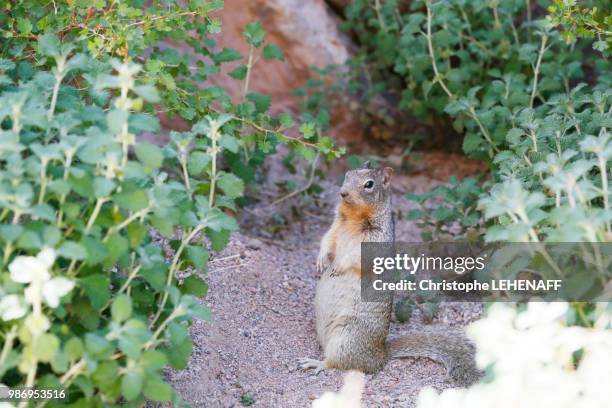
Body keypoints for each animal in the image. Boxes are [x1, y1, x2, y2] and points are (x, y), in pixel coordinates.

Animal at [298, 163, 480, 386]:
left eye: (369, 184)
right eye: (347, 174)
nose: (343, 193)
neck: (353, 216)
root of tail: (380, 355)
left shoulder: (376, 240)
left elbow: (357, 257)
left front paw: (339, 266)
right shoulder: (335, 227)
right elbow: (326, 240)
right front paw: (321, 260)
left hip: (346, 338)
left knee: (339, 363)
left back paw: (316, 363)